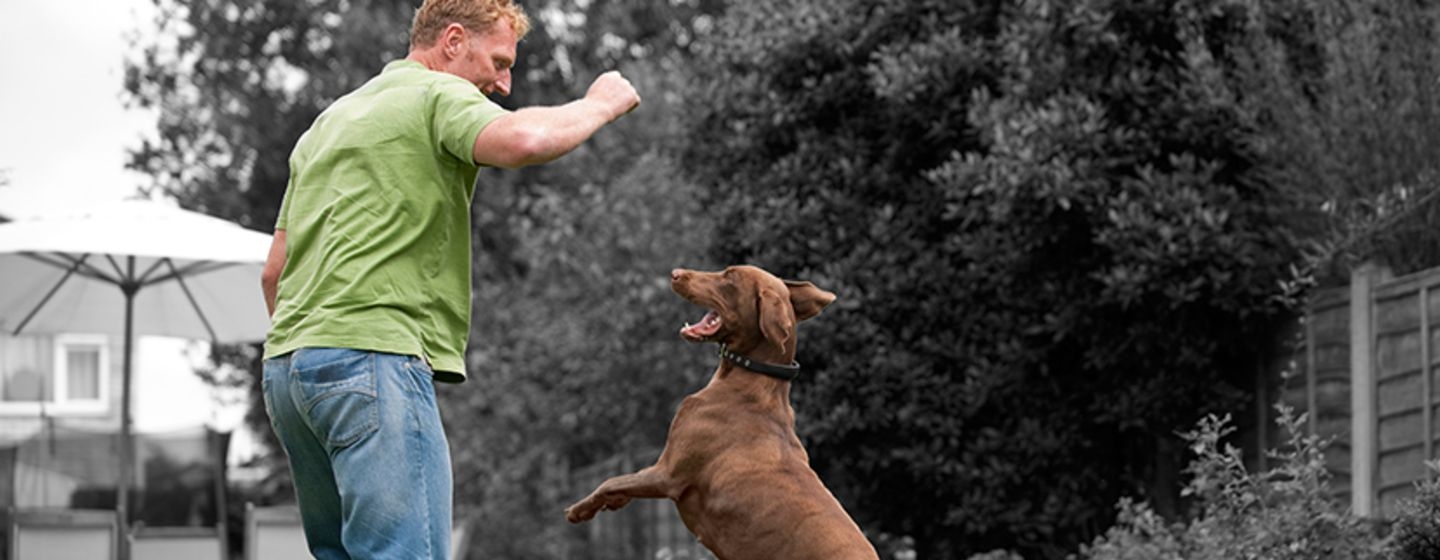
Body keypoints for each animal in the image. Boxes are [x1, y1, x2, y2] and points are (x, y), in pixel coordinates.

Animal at [561, 264, 875, 558]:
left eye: (729, 277)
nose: (675, 273)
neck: (752, 380)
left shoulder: (669, 472)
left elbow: (611, 481)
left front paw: (580, 509)